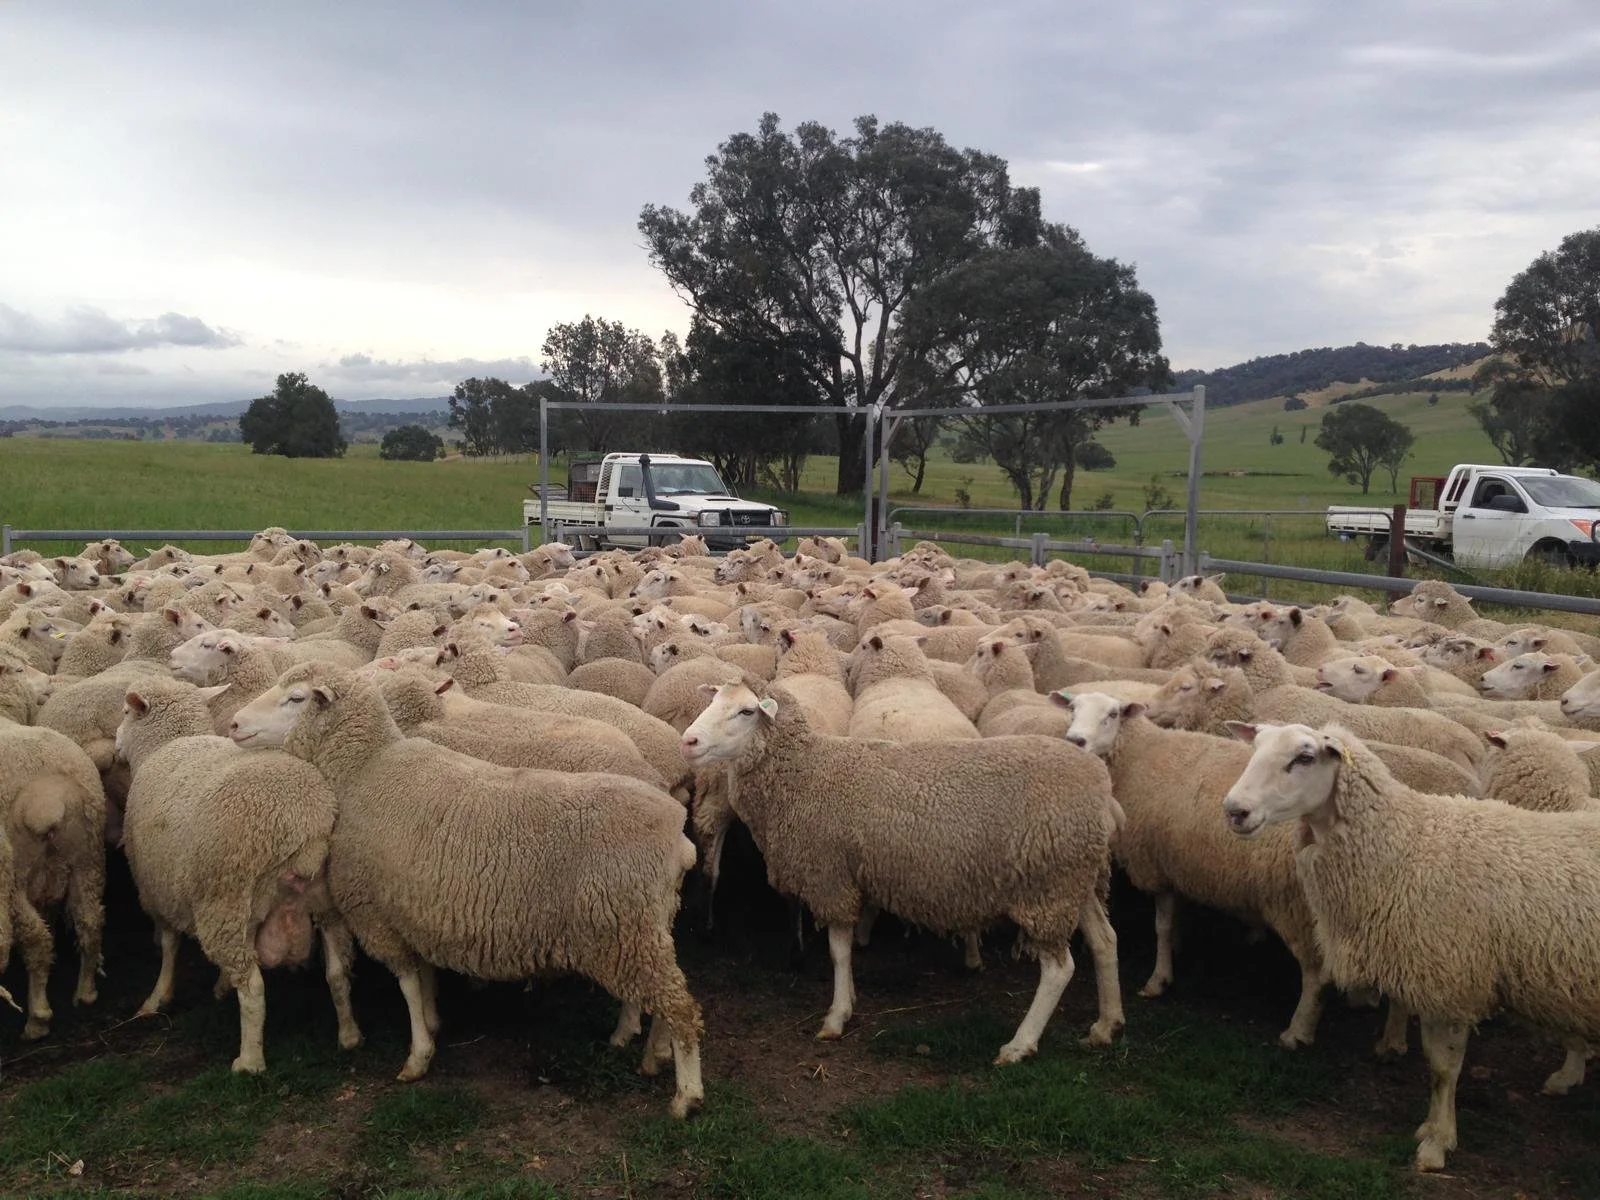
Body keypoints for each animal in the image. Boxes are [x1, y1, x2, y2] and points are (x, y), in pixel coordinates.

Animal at [0, 721, 107, 1038]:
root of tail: (48, 801)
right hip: (88, 860)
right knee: (90, 922)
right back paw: (86, 992)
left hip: (15, 878)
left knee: (35, 939)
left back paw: (38, 1018)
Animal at [114, 679, 359, 1071]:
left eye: (125, 712)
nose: (116, 743)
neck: (165, 745)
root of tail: (306, 820)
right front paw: (219, 984)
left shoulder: (156, 888)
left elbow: (168, 944)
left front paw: (157, 998)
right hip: (326, 903)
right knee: (337, 972)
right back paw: (349, 1035)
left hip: (226, 898)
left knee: (254, 986)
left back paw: (250, 1061)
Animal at [229, 665, 705, 1117]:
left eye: (295, 698)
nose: (233, 723)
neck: (365, 769)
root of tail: (678, 837)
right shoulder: (413, 906)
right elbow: (422, 977)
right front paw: (433, 1019)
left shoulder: (377, 912)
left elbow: (406, 982)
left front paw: (418, 1055)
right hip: (643, 926)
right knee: (666, 996)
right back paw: (647, 1050)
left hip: (625, 928)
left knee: (681, 1008)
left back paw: (685, 1096)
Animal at [682, 680, 1124, 1061]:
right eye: (712, 700)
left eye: (745, 711)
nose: (688, 741)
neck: (806, 772)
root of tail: (1102, 789)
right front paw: (846, 1003)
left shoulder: (831, 876)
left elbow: (838, 952)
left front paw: (836, 1016)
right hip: (1076, 880)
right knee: (1105, 941)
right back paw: (1106, 1025)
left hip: (1048, 886)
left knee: (1059, 969)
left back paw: (1020, 1045)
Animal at [1221, 723, 1600, 1171]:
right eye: (1255, 747)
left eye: (1305, 757)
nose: (1234, 810)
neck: (1404, 843)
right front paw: (1433, 1130)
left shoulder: (1450, 979)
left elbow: (1443, 1069)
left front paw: (1436, 1144)